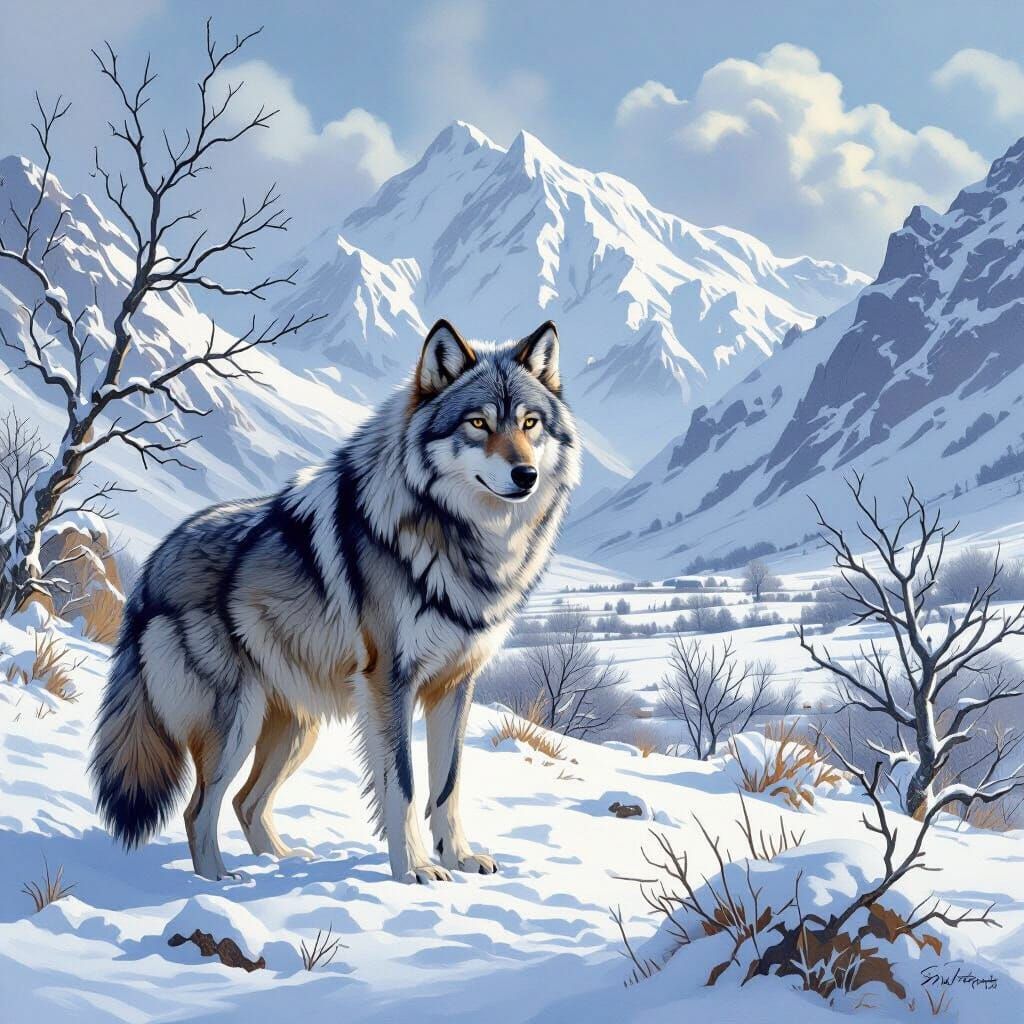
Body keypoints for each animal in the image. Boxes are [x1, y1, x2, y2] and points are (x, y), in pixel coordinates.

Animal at [90, 319, 580, 882]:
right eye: (478, 423)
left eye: (530, 423)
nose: (526, 475)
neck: (463, 541)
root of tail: (153, 567)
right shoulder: (390, 680)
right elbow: (404, 784)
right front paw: (414, 868)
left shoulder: (455, 685)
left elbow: (448, 784)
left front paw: (458, 857)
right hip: (236, 722)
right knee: (200, 808)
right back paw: (220, 878)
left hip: (295, 730)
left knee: (244, 801)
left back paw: (281, 859)